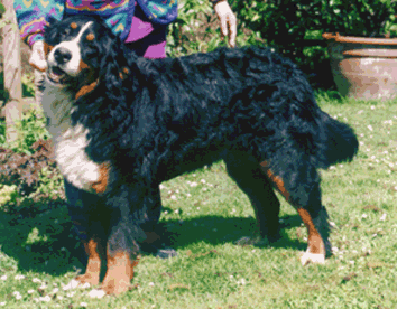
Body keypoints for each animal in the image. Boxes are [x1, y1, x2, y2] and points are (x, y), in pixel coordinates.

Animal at [41, 15, 358, 294]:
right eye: (63, 34)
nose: (62, 54)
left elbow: (117, 244)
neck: (99, 96)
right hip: (243, 163)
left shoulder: (126, 187)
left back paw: (316, 253)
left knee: (312, 206)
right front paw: (88, 279)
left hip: (284, 159)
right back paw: (261, 239)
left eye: (91, 46)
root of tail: (288, 66)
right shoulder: (87, 185)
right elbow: (93, 244)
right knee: (267, 202)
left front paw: (112, 287)